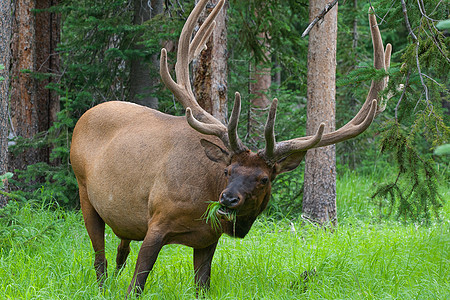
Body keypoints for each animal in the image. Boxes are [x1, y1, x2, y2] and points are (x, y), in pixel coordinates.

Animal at [69, 0, 390, 296]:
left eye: (264, 178)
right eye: (228, 170)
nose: (228, 199)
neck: (203, 200)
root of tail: (84, 116)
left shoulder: (207, 240)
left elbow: (202, 285)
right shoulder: (157, 221)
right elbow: (136, 284)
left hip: (124, 221)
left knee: (120, 251)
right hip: (85, 193)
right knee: (100, 259)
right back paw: (101, 286)